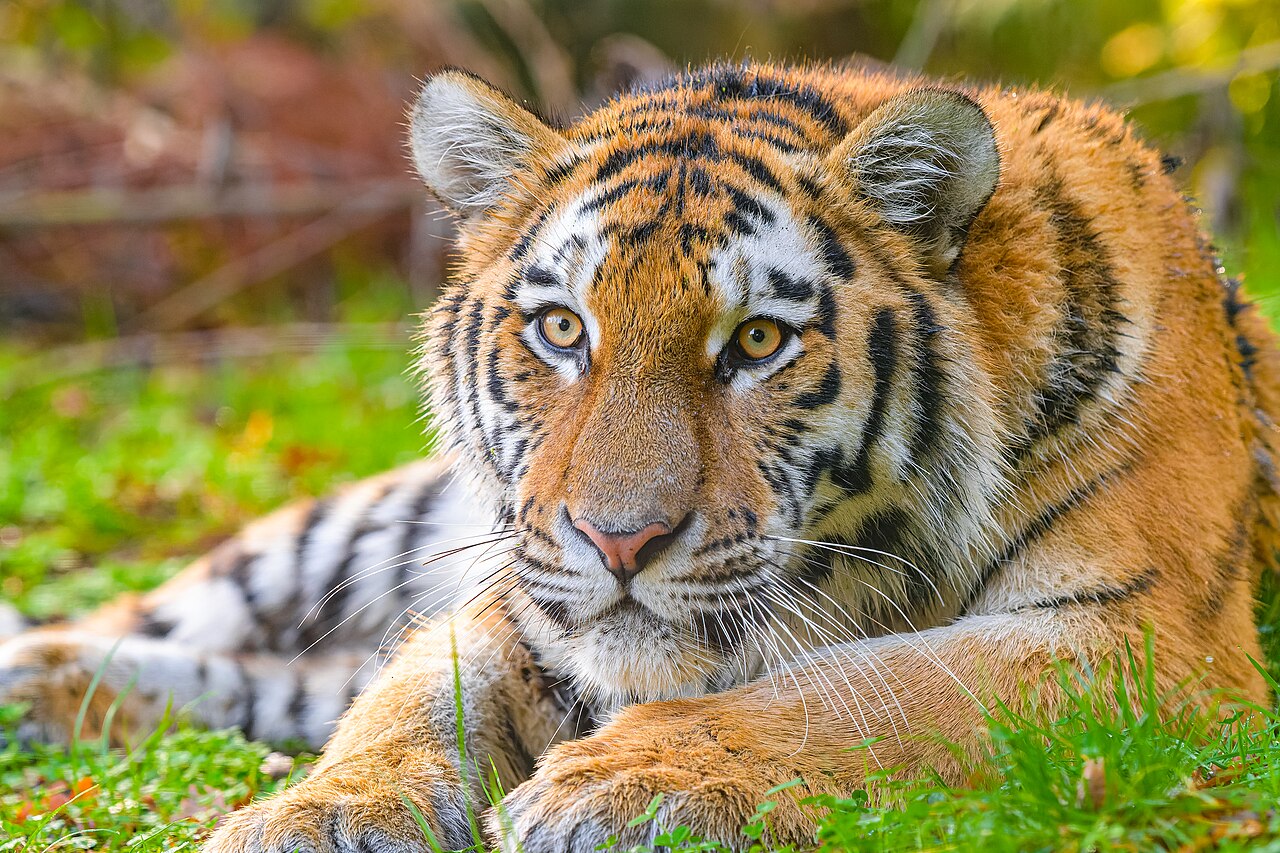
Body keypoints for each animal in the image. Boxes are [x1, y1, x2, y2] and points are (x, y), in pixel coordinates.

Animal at [2, 60, 1278, 852]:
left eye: (756, 340)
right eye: (562, 328)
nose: (618, 542)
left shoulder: (1135, 634)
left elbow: (848, 691)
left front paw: (626, 783)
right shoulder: (515, 597)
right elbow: (408, 703)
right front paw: (317, 814)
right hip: (343, 534)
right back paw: (38, 676)